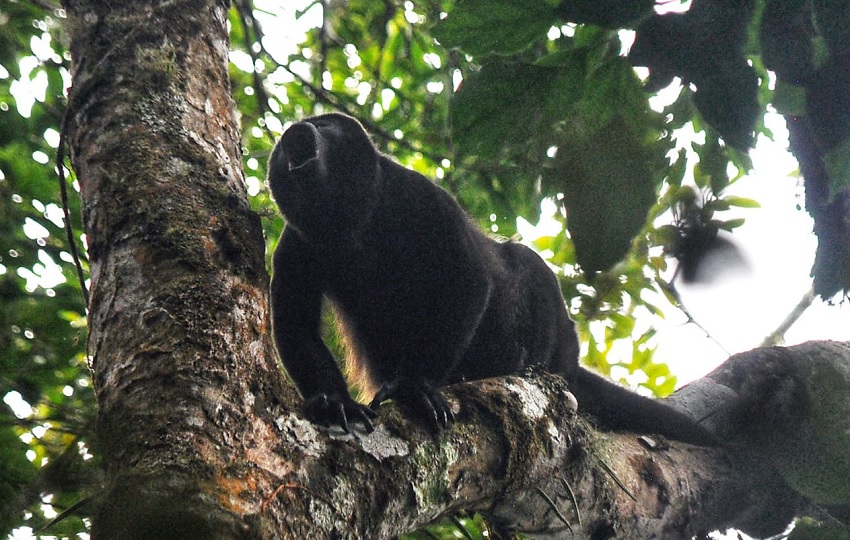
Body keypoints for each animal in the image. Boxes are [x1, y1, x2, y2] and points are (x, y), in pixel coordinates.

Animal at [268, 112, 712, 446]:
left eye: (325, 125)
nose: (297, 130)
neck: (355, 221)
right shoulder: (295, 244)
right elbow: (296, 326)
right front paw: (334, 402)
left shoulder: (422, 197)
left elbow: (469, 278)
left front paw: (415, 387)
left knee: (526, 264)